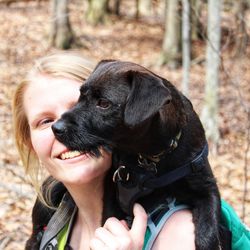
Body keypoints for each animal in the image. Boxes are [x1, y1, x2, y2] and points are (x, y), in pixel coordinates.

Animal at [49, 59, 223, 249]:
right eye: (80, 96)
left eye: (103, 103)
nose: (56, 128)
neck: (151, 158)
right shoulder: (112, 193)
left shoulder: (206, 187)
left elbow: (209, 230)